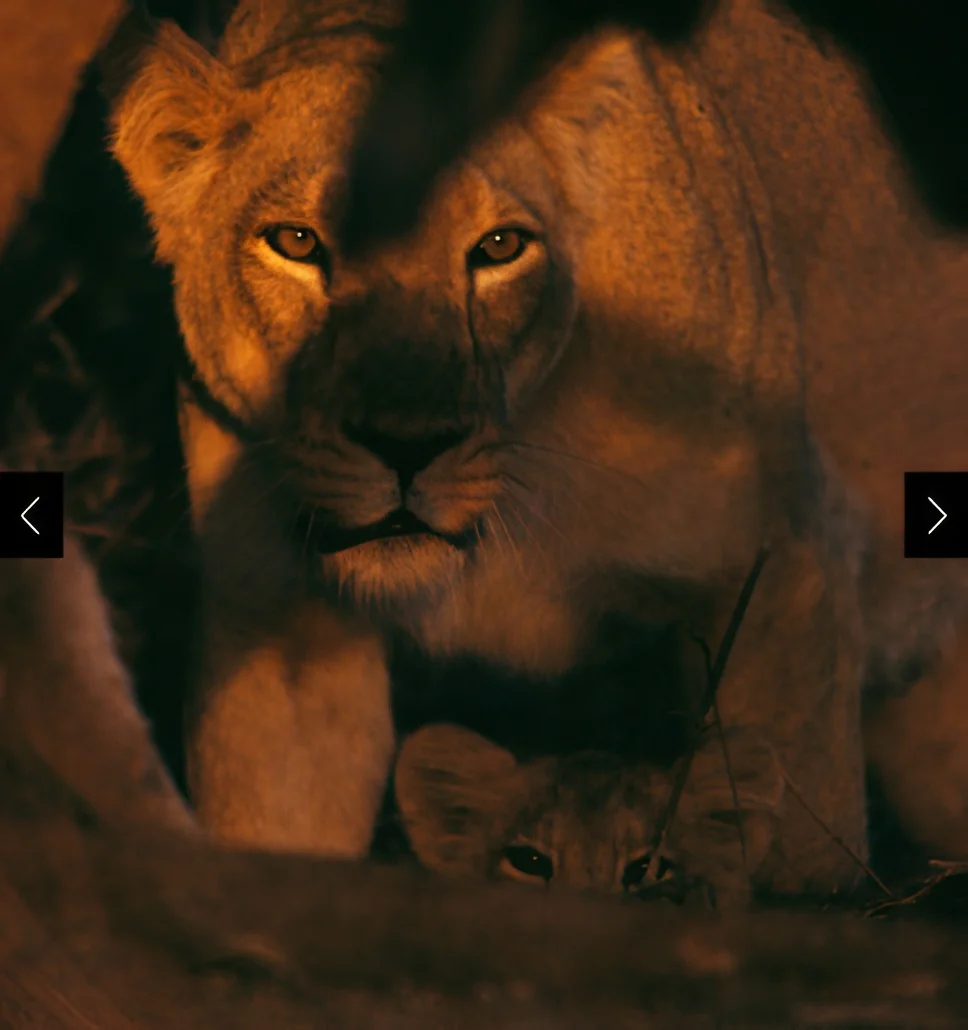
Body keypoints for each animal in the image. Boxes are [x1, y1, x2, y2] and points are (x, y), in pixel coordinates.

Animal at [108, 0, 968, 899]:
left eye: (498, 248)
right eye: (298, 243)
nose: (407, 446)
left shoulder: (781, 574)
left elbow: (798, 851)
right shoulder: (281, 625)